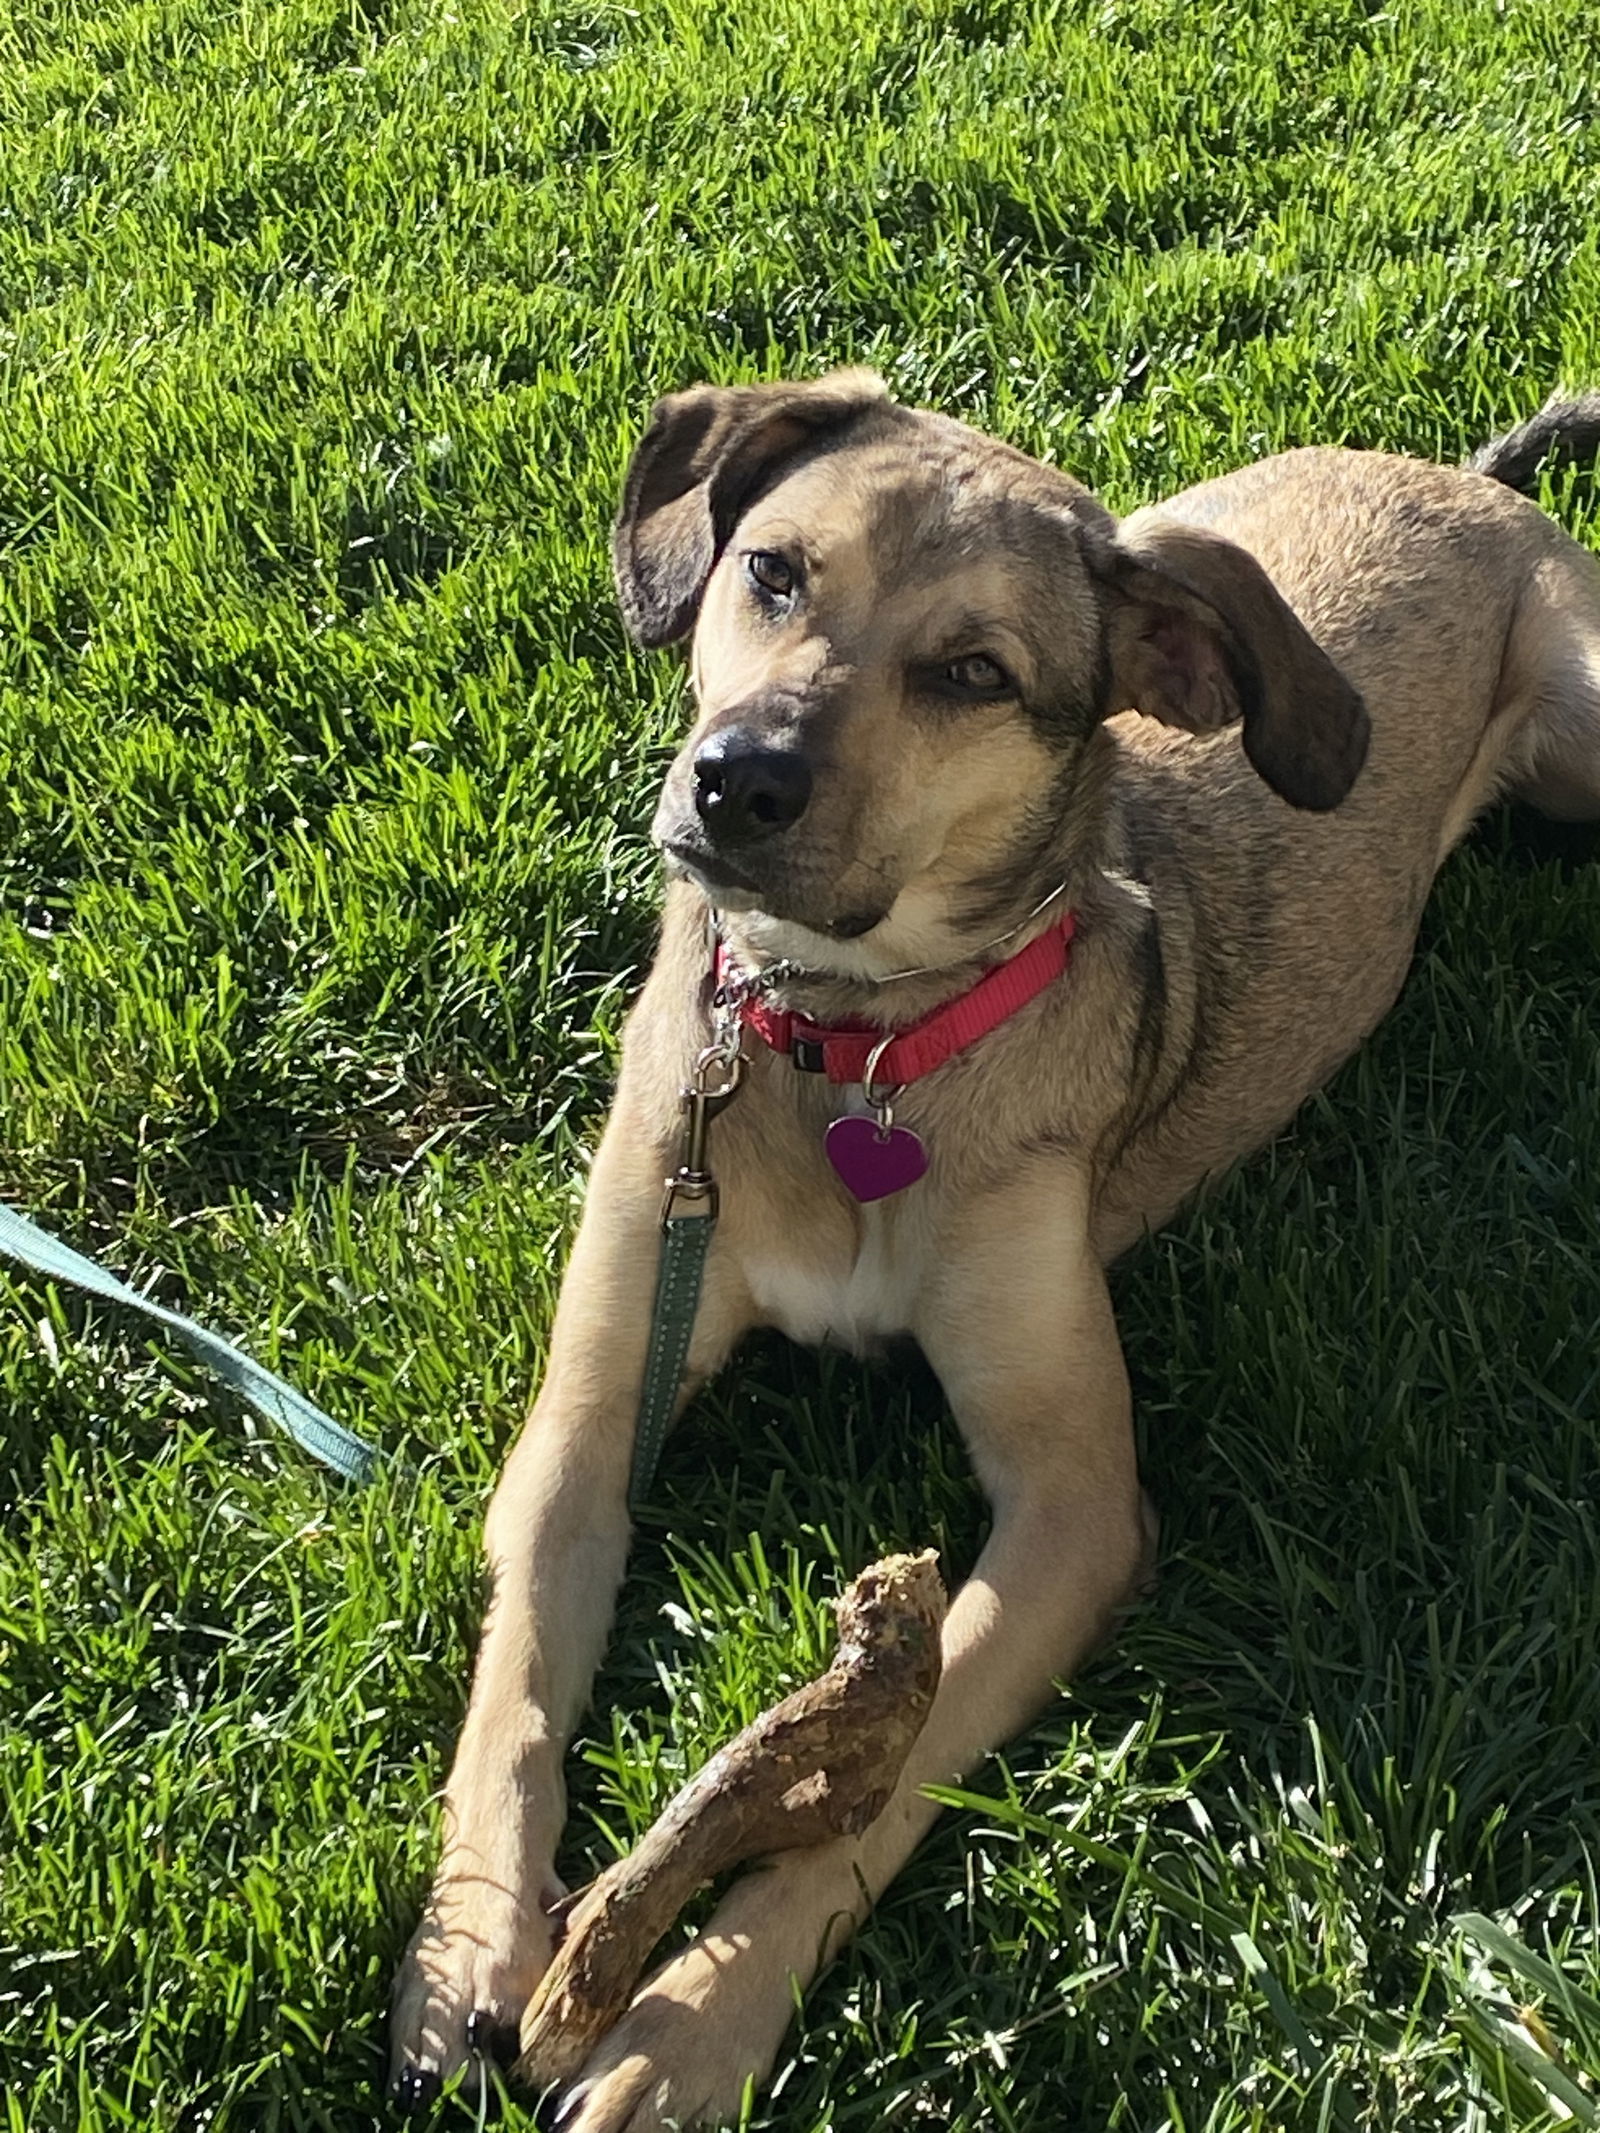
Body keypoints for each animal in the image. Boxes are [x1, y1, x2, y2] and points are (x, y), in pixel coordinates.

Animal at [388, 375, 1600, 2124]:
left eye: (976, 673)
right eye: (771, 572)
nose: (736, 782)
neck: (846, 1047)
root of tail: (1465, 481)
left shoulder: (1076, 1507)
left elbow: (887, 1770)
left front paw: (687, 2018)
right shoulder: (594, 1399)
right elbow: (520, 1683)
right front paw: (472, 1941)